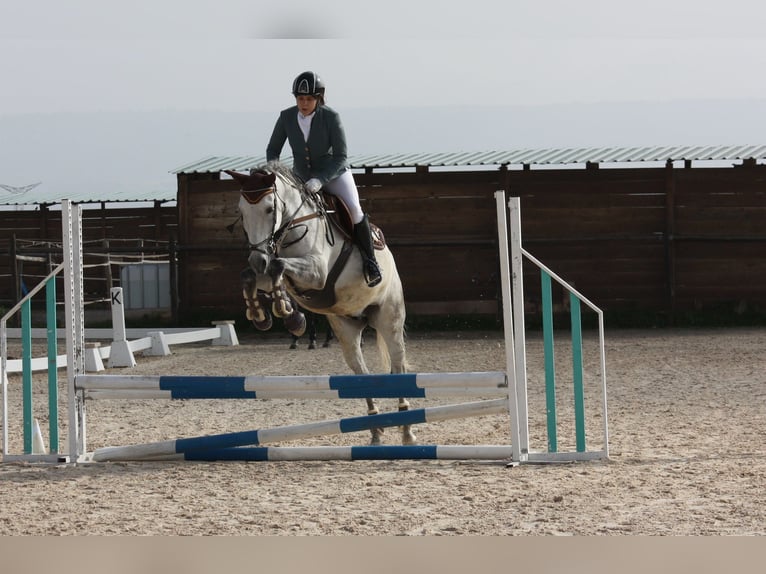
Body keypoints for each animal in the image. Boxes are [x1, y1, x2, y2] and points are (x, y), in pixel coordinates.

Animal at [230, 164, 414, 448]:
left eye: (270, 209)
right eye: (241, 212)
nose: (257, 258)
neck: (292, 228)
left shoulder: (317, 273)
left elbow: (278, 265)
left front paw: (288, 314)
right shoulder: (269, 272)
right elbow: (252, 275)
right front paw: (264, 315)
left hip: (389, 318)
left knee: (399, 364)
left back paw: (406, 430)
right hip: (347, 328)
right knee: (361, 371)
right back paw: (375, 430)